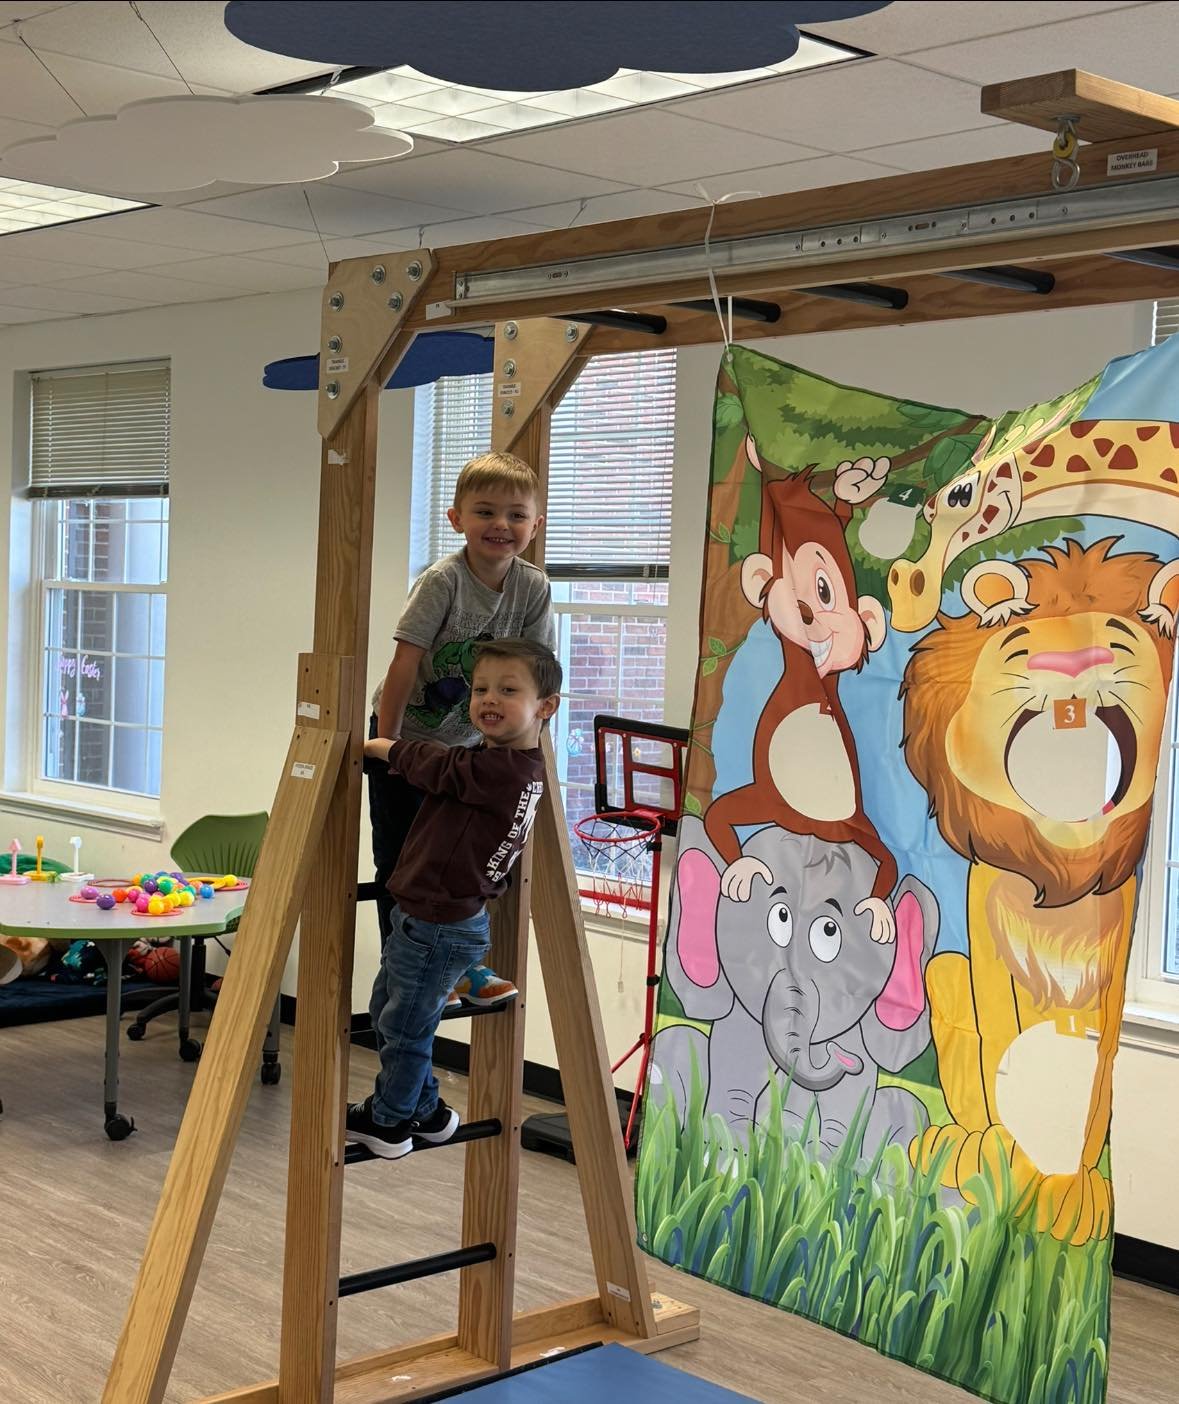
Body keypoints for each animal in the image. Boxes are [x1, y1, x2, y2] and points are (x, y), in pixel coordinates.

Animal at [649, 818, 939, 1163]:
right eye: (781, 916)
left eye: (829, 930)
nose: (843, 1057)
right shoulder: (742, 1024)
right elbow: (736, 1076)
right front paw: (730, 1154)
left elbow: (843, 1108)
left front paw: (815, 1162)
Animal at [703, 437, 898, 943]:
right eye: (809, 588)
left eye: (827, 590)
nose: (807, 610)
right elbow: (716, 816)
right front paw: (743, 869)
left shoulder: (862, 830)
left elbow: (888, 864)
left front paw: (878, 908)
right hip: (769, 800)